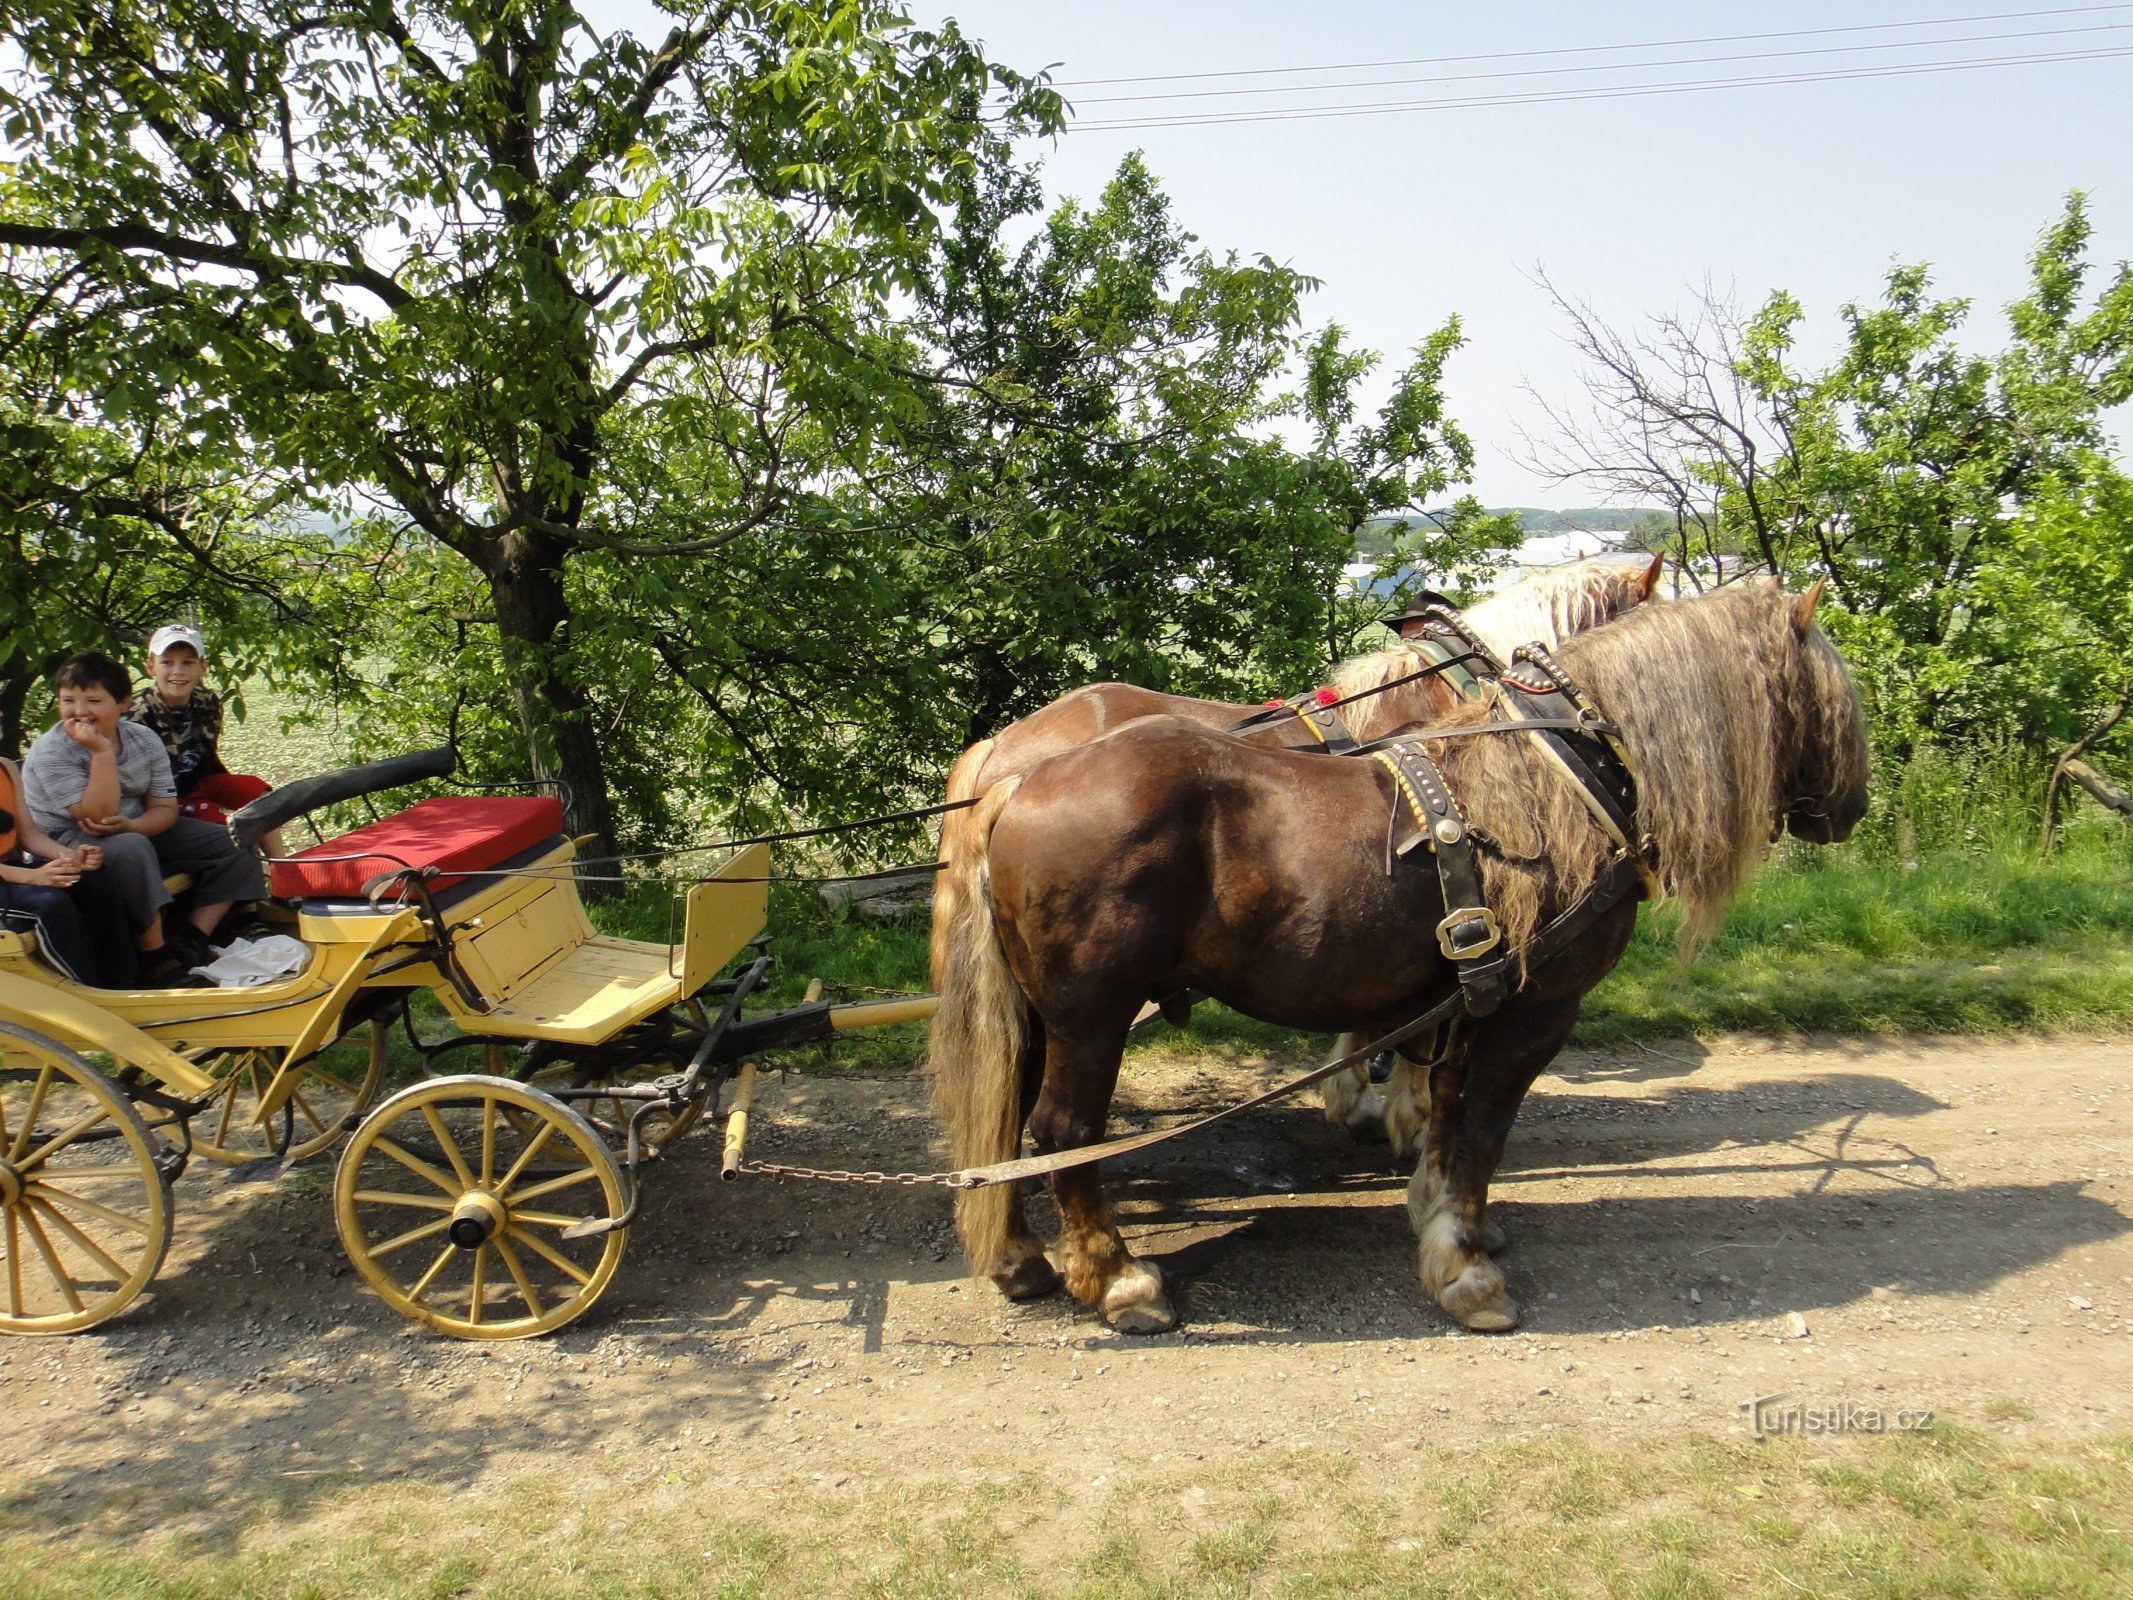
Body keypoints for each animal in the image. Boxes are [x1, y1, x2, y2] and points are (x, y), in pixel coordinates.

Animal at [934, 588, 1868, 1339]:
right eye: (1838, 697)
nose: (1852, 808)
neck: (1559, 775)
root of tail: (1018, 780)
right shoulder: (1535, 1007)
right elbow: (1481, 1128)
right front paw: (1466, 1271)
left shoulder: (1463, 998)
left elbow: (1450, 1120)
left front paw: (1435, 1209)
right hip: (1092, 1012)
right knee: (1066, 1131)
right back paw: (1118, 1281)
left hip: (1037, 1009)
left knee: (1010, 1114)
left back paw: (1021, 1255)